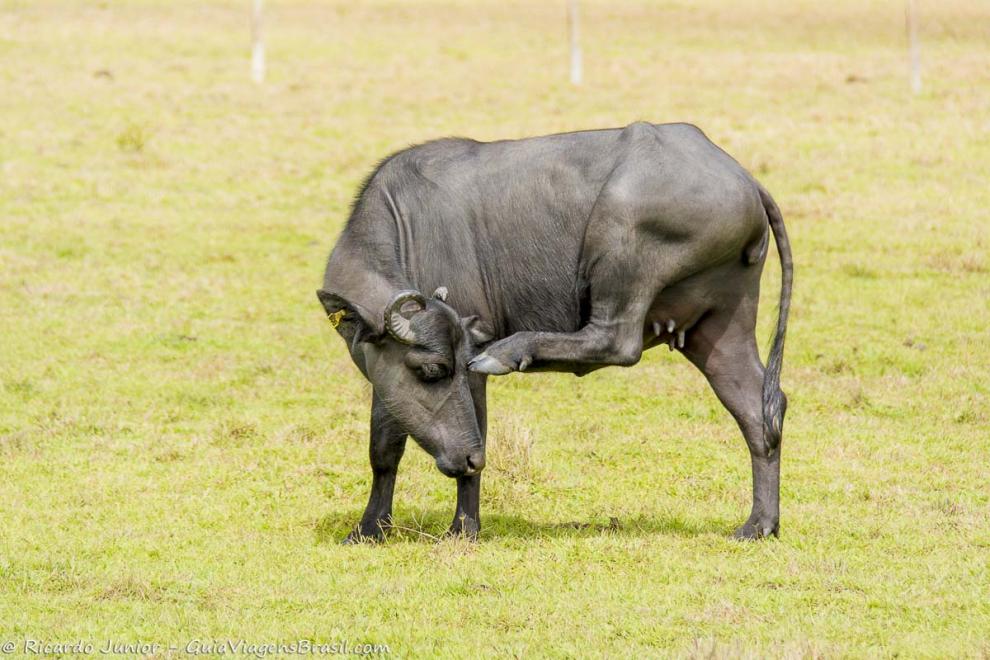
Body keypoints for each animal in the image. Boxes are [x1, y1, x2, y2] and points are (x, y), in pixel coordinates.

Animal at [322, 122, 796, 540]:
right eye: (432, 371)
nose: (469, 457)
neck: (406, 225)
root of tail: (744, 179)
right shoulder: (384, 374)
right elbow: (383, 449)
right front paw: (369, 529)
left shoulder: (469, 360)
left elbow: (476, 430)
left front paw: (463, 528)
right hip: (718, 325)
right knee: (759, 409)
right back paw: (759, 525)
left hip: (619, 241)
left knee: (617, 341)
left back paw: (512, 352)